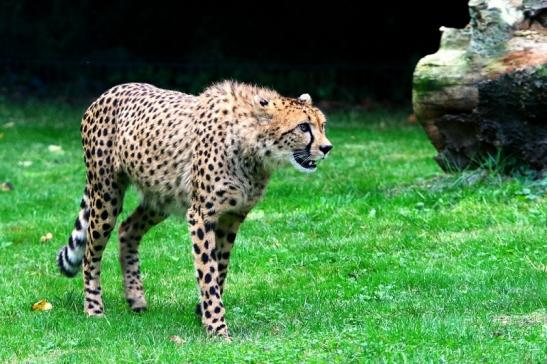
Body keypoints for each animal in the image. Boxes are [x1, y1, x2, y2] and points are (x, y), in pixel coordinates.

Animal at [55, 81, 332, 336]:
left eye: (322, 125)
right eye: (303, 127)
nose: (327, 148)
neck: (252, 147)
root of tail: (112, 90)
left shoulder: (232, 216)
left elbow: (221, 267)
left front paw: (203, 312)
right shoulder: (202, 214)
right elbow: (207, 271)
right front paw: (217, 328)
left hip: (161, 197)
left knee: (127, 229)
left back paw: (136, 299)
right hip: (106, 194)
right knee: (91, 252)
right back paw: (94, 308)